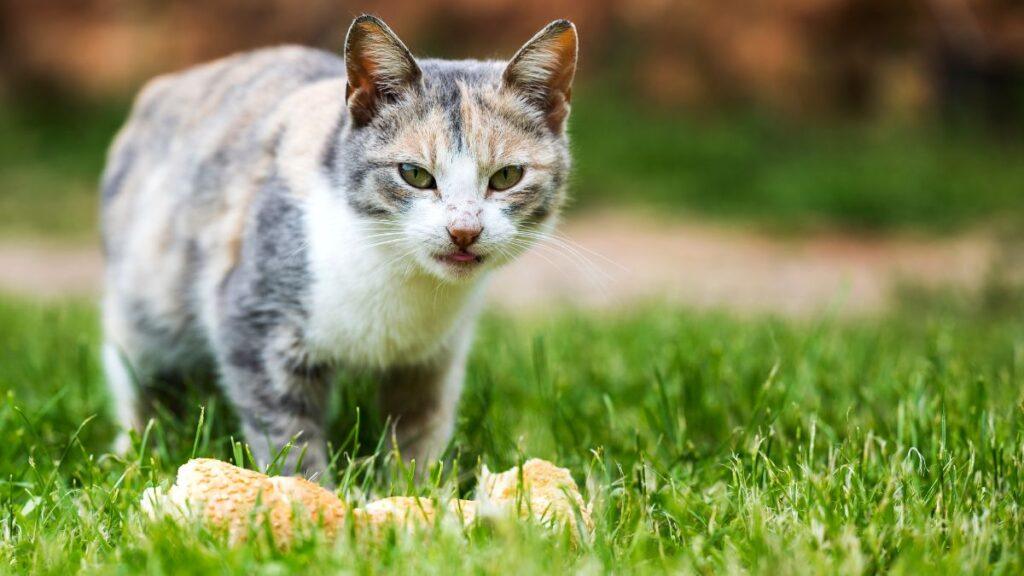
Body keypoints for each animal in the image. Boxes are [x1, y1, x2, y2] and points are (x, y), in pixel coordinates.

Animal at [100, 15, 581, 477]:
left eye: (507, 176)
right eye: (414, 173)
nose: (464, 230)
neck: (401, 285)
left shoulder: (434, 358)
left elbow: (420, 427)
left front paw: (419, 490)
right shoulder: (256, 320)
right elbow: (286, 431)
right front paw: (303, 490)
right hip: (145, 302)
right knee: (137, 372)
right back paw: (134, 447)